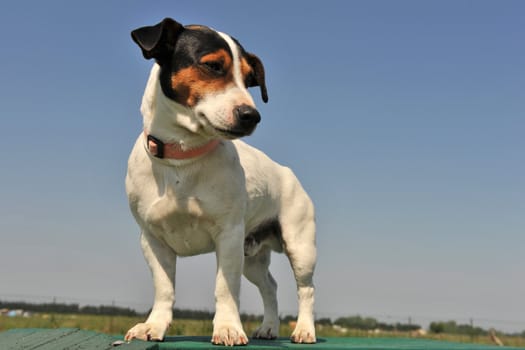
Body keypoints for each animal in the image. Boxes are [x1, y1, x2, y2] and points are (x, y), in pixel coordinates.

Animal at [124, 17, 316, 344]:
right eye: (213, 66)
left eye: (250, 79)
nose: (251, 115)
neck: (182, 158)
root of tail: (287, 172)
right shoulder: (152, 240)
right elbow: (164, 289)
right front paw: (154, 326)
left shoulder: (228, 236)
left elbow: (225, 288)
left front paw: (227, 328)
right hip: (250, 256)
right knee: (270, 286)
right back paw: (269, 327)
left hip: (300, 247)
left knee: (306, 290)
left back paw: (304, 329)